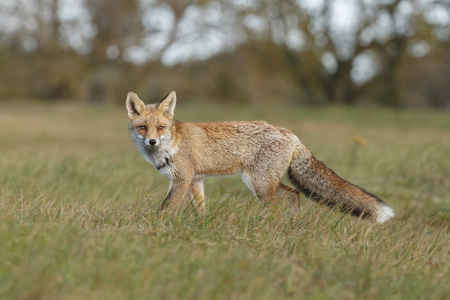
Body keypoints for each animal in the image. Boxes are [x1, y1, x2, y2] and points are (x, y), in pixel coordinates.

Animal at [125, 91, 394, 223]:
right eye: (143, 127)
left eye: (160, 127)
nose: (151, 141)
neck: (172, 143)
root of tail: (290, 133)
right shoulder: (195, 181)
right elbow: (200, 209)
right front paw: (201, 227)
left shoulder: (181, 180)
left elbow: (164, 209)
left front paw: (153, 227)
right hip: (266, 183)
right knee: (295, 195)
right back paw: (292, 227)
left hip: (260, 185)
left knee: (277, 208)